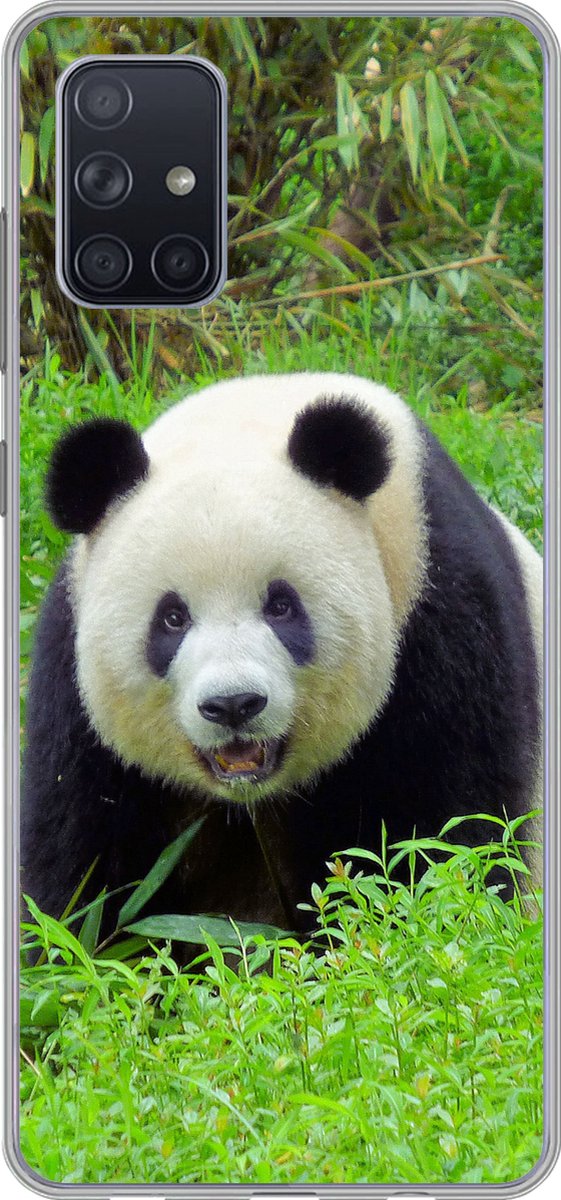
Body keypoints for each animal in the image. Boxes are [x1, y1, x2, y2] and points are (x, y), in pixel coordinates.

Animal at [21, 372, 543, 934]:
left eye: (281, 605)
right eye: (172, 618)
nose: (233, 705)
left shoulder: (441, 609)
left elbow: (450, 826)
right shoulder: (72, 678)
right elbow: (81, 859)